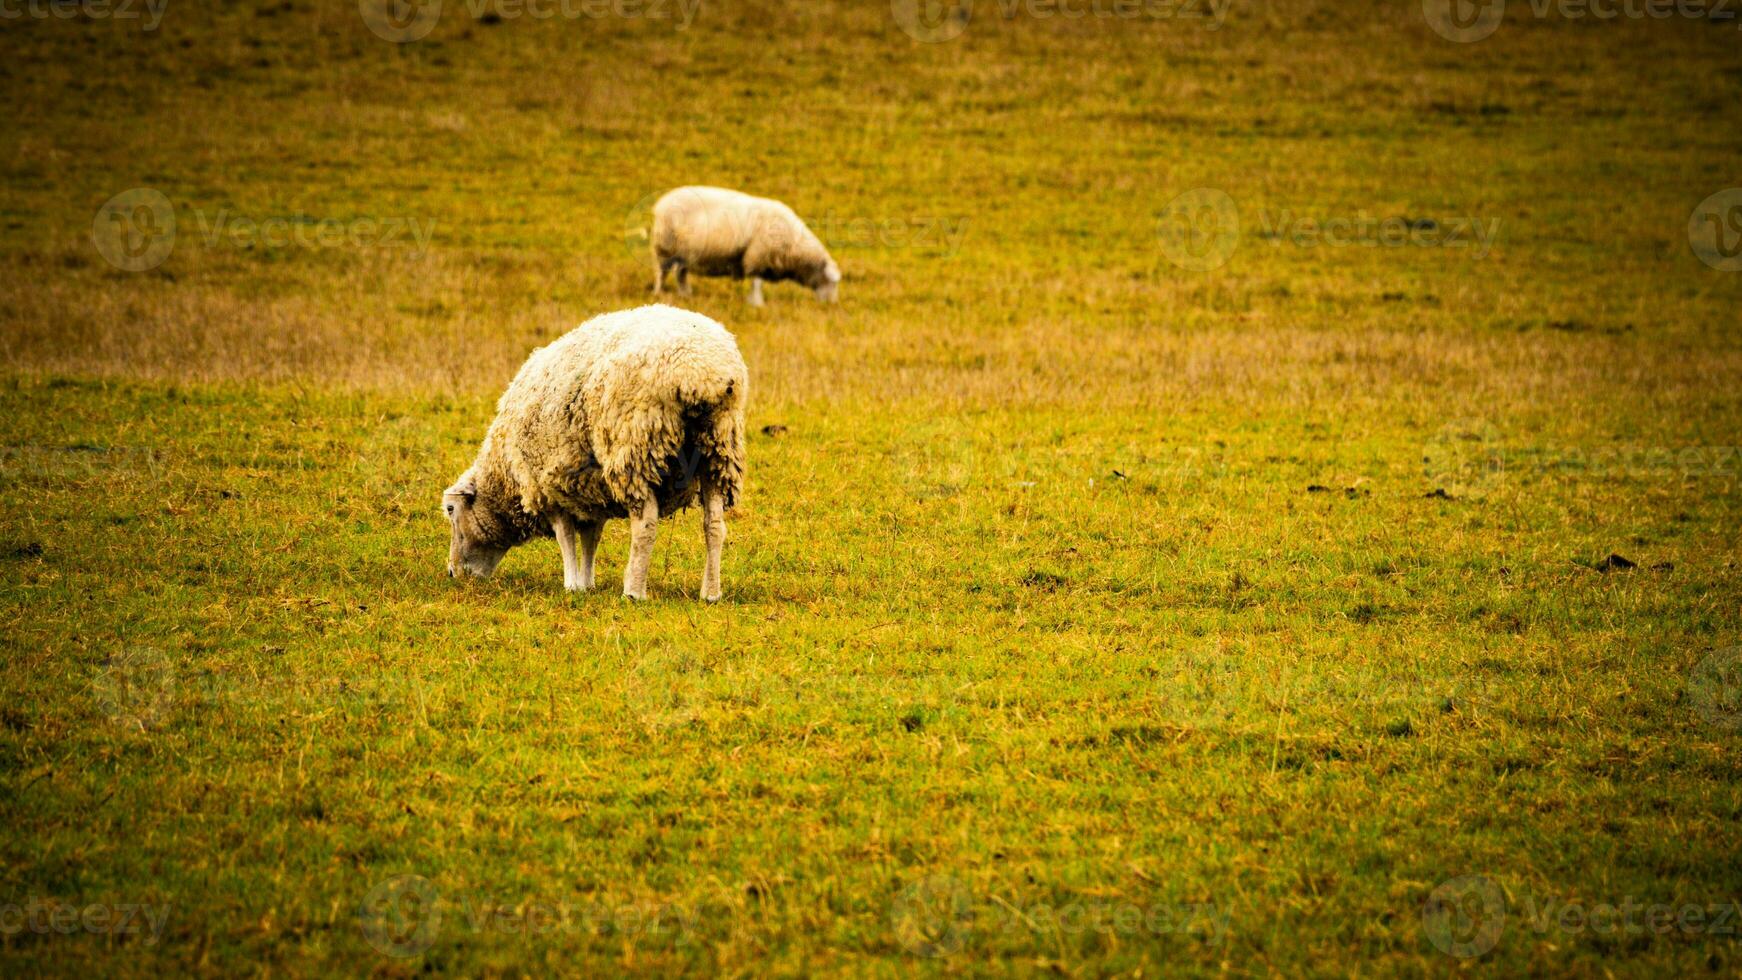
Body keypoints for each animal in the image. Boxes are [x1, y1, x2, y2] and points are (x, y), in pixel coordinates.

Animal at [438, 302, 745, 602]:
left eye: (451, 509)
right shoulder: (589, 492)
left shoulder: (548, 489)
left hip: (636, 447)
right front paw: (587, 582)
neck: (504, 476)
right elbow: (590, 538)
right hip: (717, 447)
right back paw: (711, 593)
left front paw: (572, 584)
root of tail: (701, 372)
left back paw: (634, 591)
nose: (452, 573)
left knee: (645, 525)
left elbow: (566, 538)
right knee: (714, 524)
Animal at [654, 184, 843, 306]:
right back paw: (658, 292)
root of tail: (663, 201)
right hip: (665, 246)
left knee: (680, 274)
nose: (831, 305)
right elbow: (756, 282)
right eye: (833, 283)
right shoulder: (757, 255)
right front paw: (757, 303)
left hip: (686, 253)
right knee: (662, 273)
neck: (793, 244)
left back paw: (686, 295)